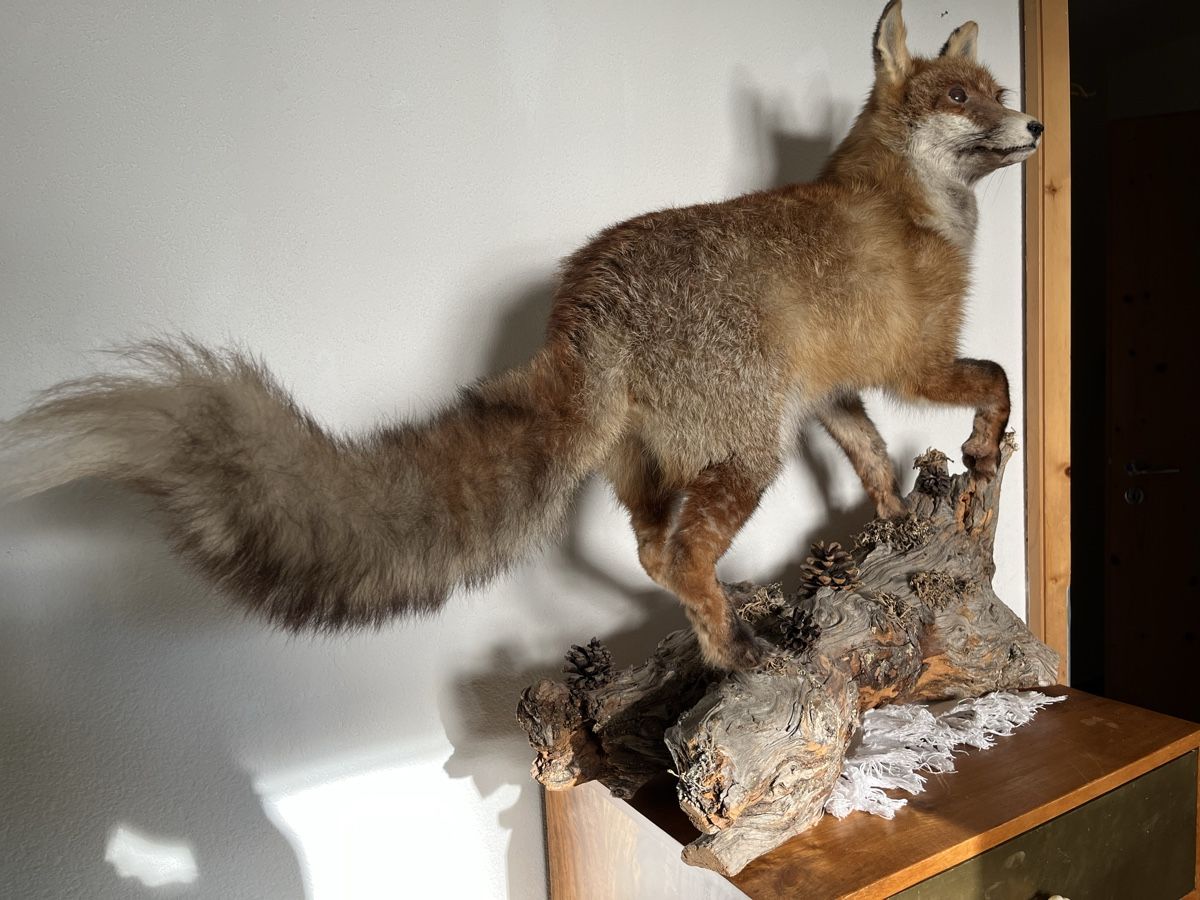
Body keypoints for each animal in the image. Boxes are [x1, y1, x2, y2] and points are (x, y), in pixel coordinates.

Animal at [0, 1, 1040, 671]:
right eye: (961, 98)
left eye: (996, 90)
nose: (1034, 123)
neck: (908, 203)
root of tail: (585, 298)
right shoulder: (915, 364)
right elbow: (996, 377)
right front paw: (984, 452)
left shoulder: (832, 393)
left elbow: (870, 459)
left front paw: (895, 525)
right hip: (746, 455)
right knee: (680, 557)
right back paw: (732, 651)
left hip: (657, 466)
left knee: (653, 557)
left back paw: (727, 623)